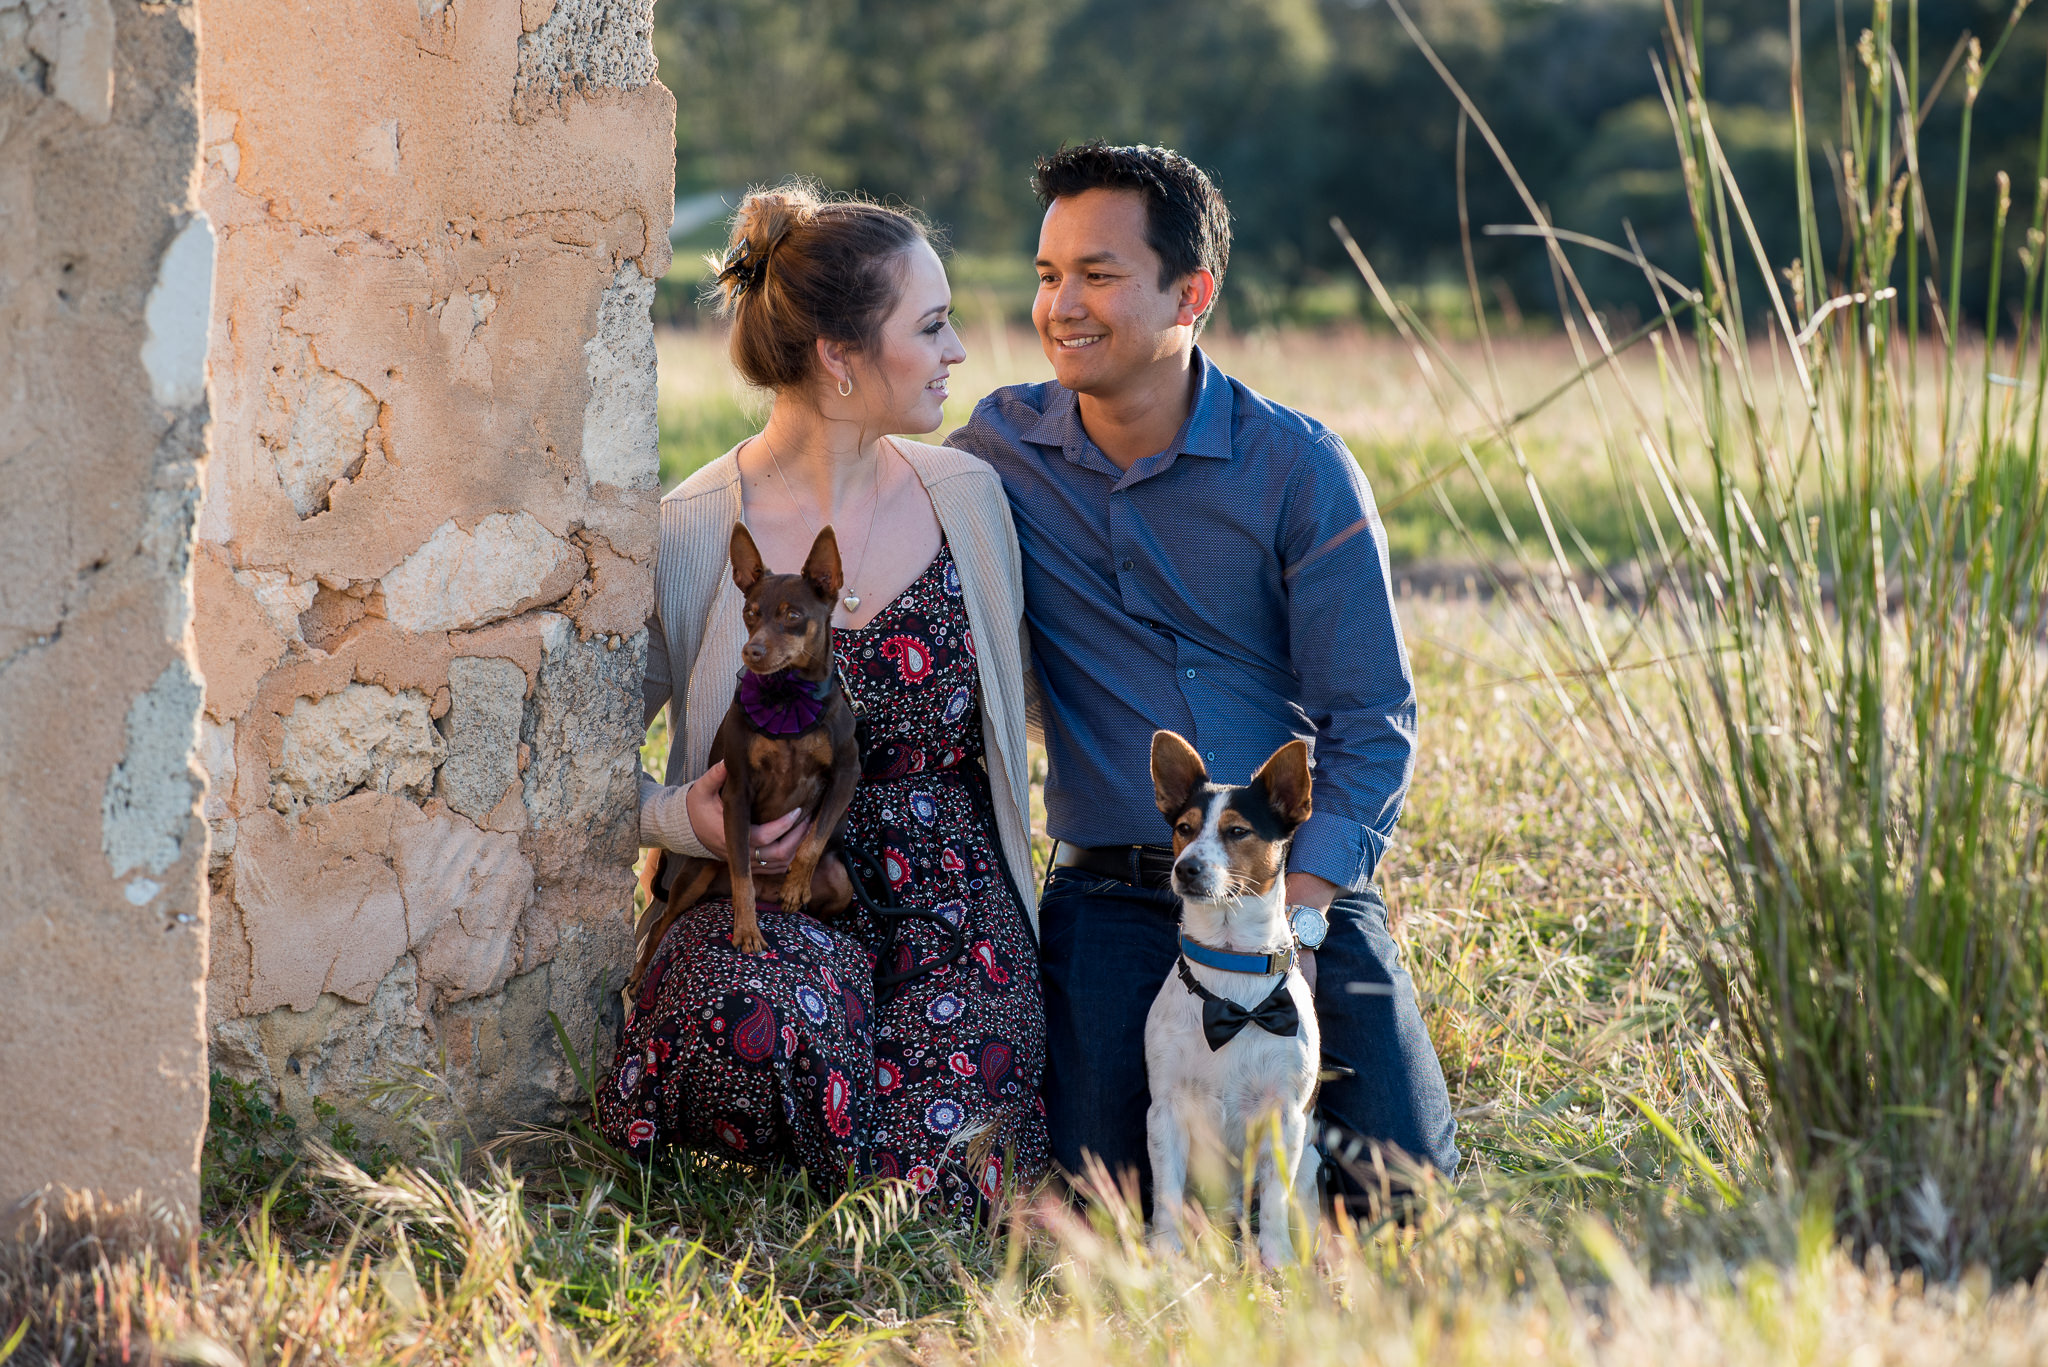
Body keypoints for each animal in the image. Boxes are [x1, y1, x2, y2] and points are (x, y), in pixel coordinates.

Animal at [634, 524, 868, 996]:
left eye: (793, 615)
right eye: (750, 613)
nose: (752, 652)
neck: (786, 695)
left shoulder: (846, 774)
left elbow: (813, 838)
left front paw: (797, 884)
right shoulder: (737, 795)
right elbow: (743, 873)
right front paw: (746, 931)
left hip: (841, 884)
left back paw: (791, 898)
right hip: (699, 874)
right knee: (665, 922)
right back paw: (638, 975)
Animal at [1146, 733, 1318, 1270]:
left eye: (1237, 831)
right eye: (1183, 829)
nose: (1185, 868)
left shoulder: (1285, 1116)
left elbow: (1276, 1198)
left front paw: (1277, 1259)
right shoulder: (1165, 1110)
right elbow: (1166, 1192)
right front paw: (1166, 1251)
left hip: (1310, 1157)